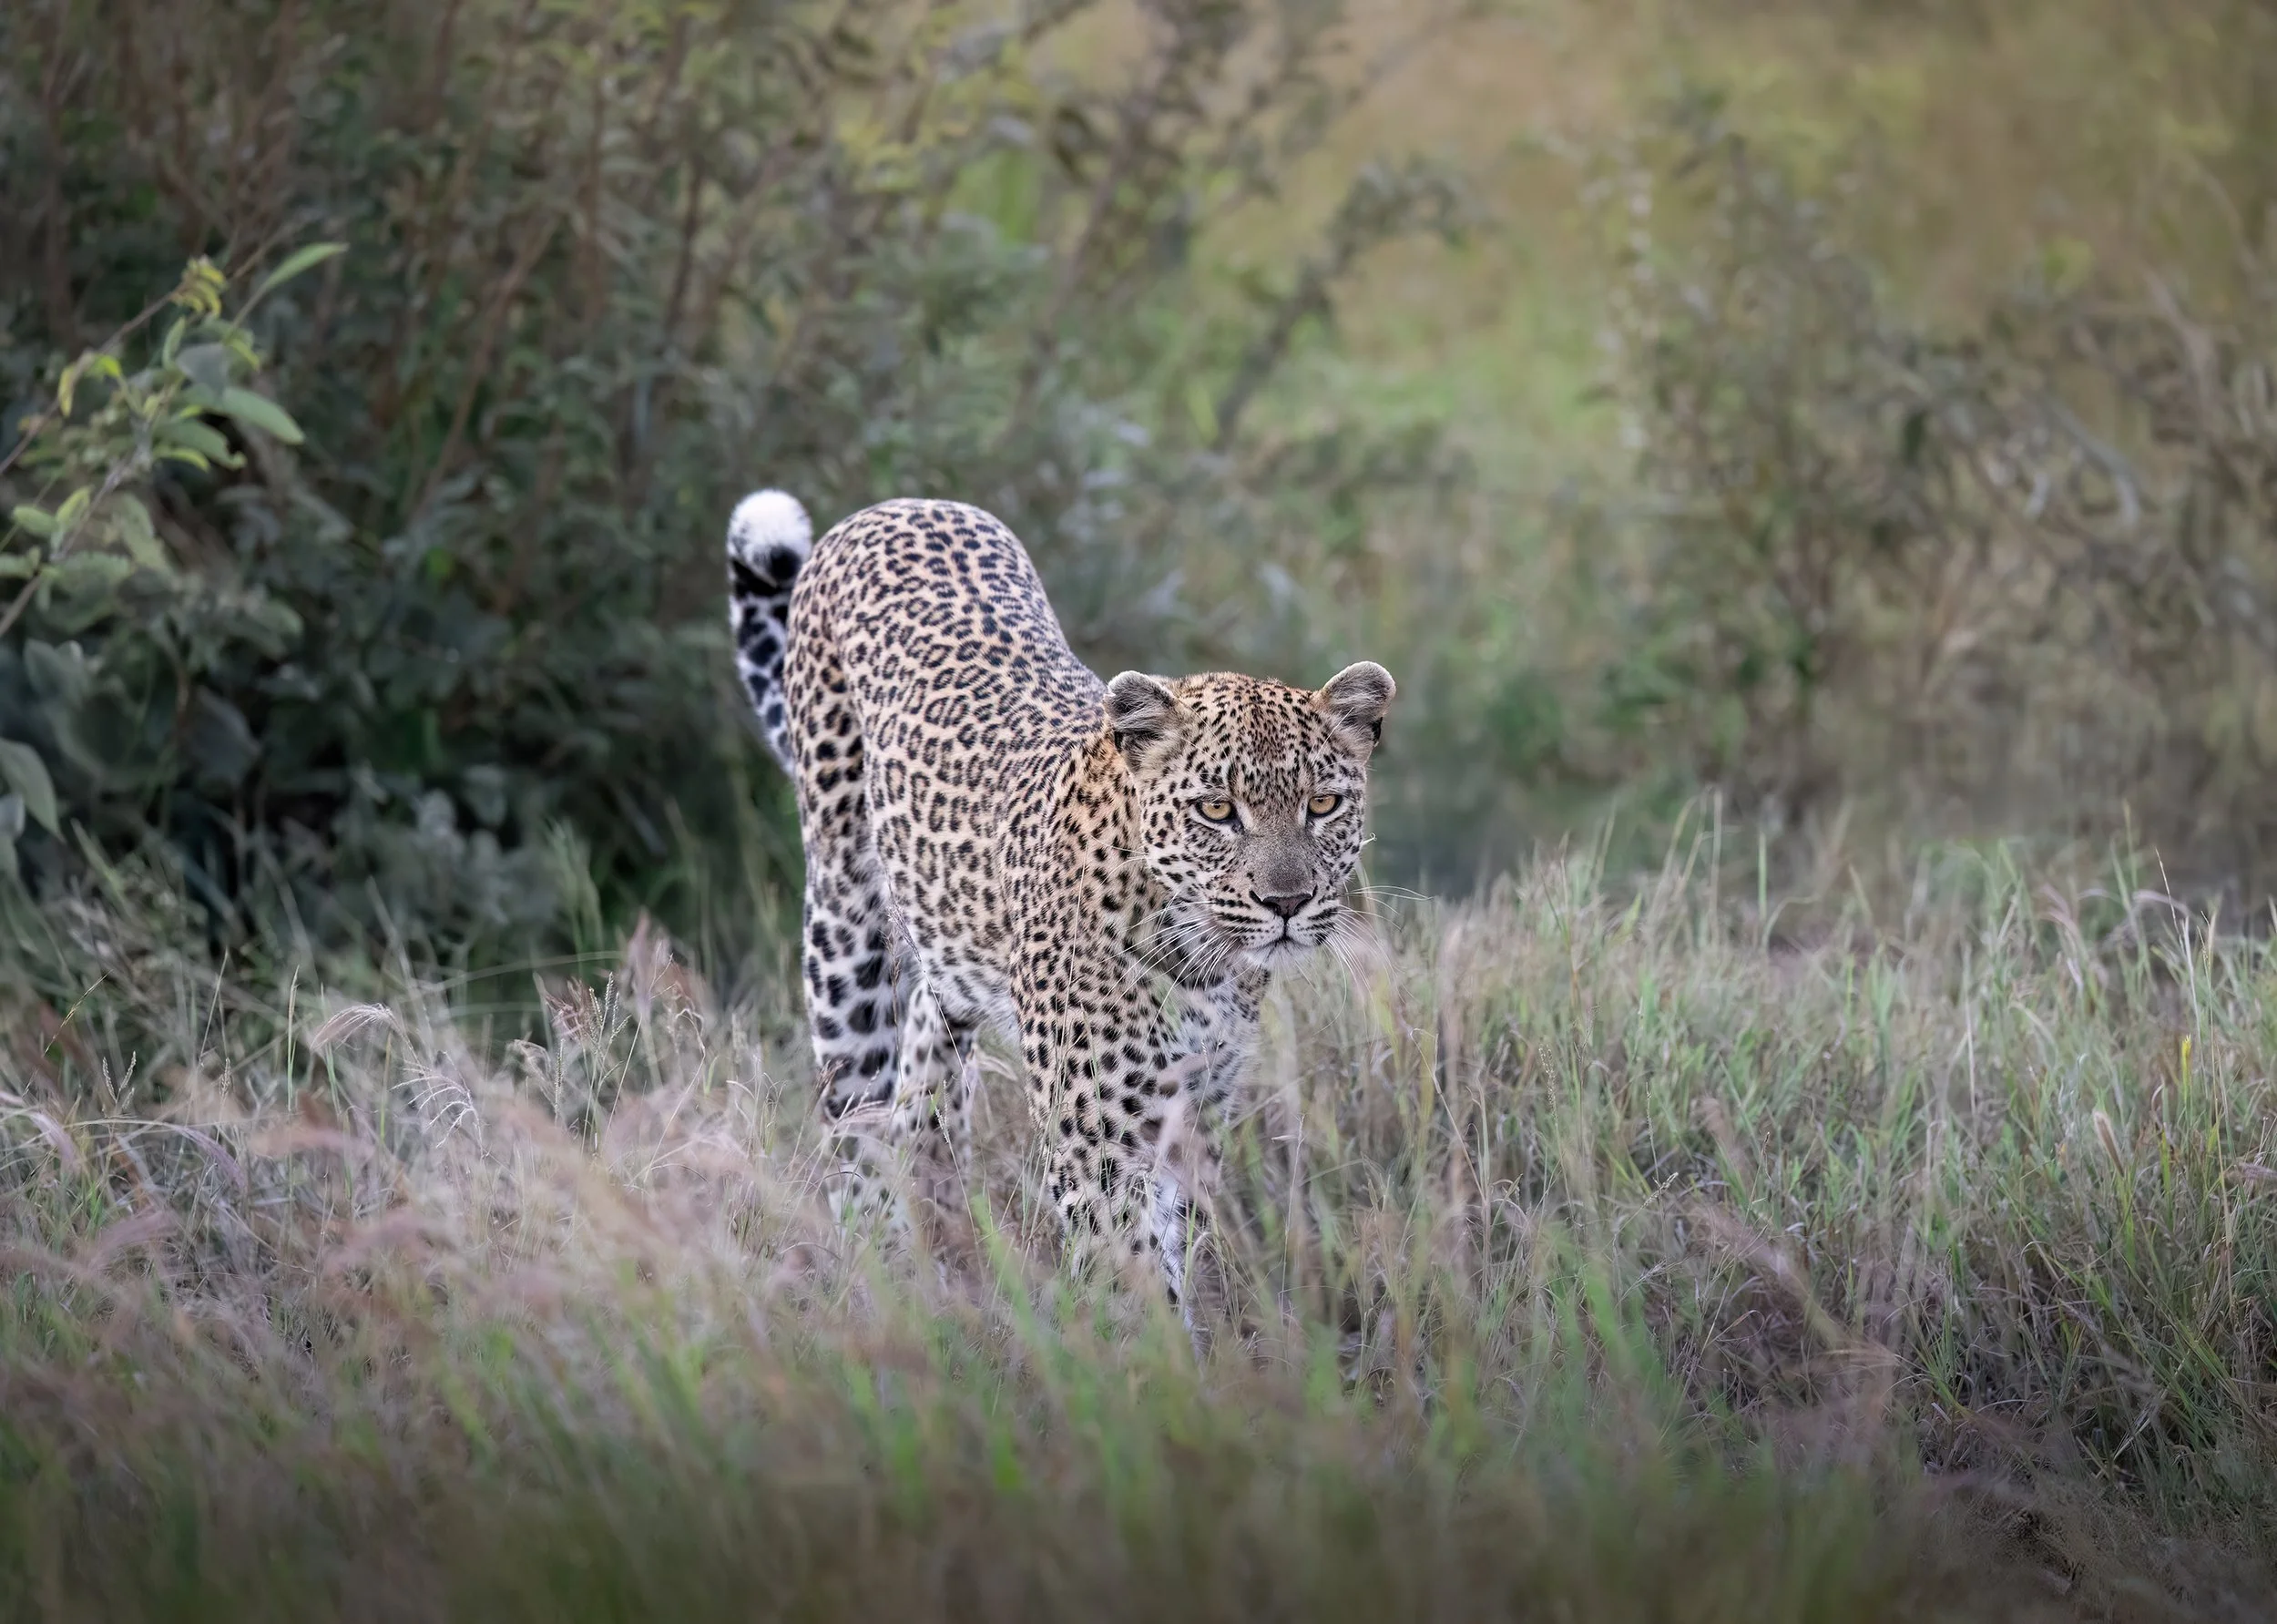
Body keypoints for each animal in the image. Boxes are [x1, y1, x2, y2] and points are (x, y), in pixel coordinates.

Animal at [726, 487, 1394, 1315]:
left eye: (1323, 804)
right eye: (1216, 810)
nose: (1287, 902)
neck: (1200, 958)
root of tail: (895, 506)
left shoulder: (1192, 1117)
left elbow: (1174, 1258)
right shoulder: (1098, 1144)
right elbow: (1135, 1289)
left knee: (924, 1086)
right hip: (842, 924)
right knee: (857, 1120)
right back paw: (873, 1272)